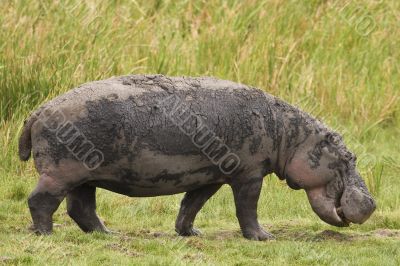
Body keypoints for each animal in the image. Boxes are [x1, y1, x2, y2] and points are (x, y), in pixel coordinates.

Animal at [18, 74, 376, 240]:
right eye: (348, 157)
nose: (372, 203)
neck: (290, 134)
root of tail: (37, 111)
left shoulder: (210, 177)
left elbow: (191, 205)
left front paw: (191, 234)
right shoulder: (248, 175)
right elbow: (247, 208)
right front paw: (264, 237)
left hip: (84, 176)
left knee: (81, 207)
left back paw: (108, 234)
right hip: (60, 173)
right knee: (40, 200)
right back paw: (46, 233)